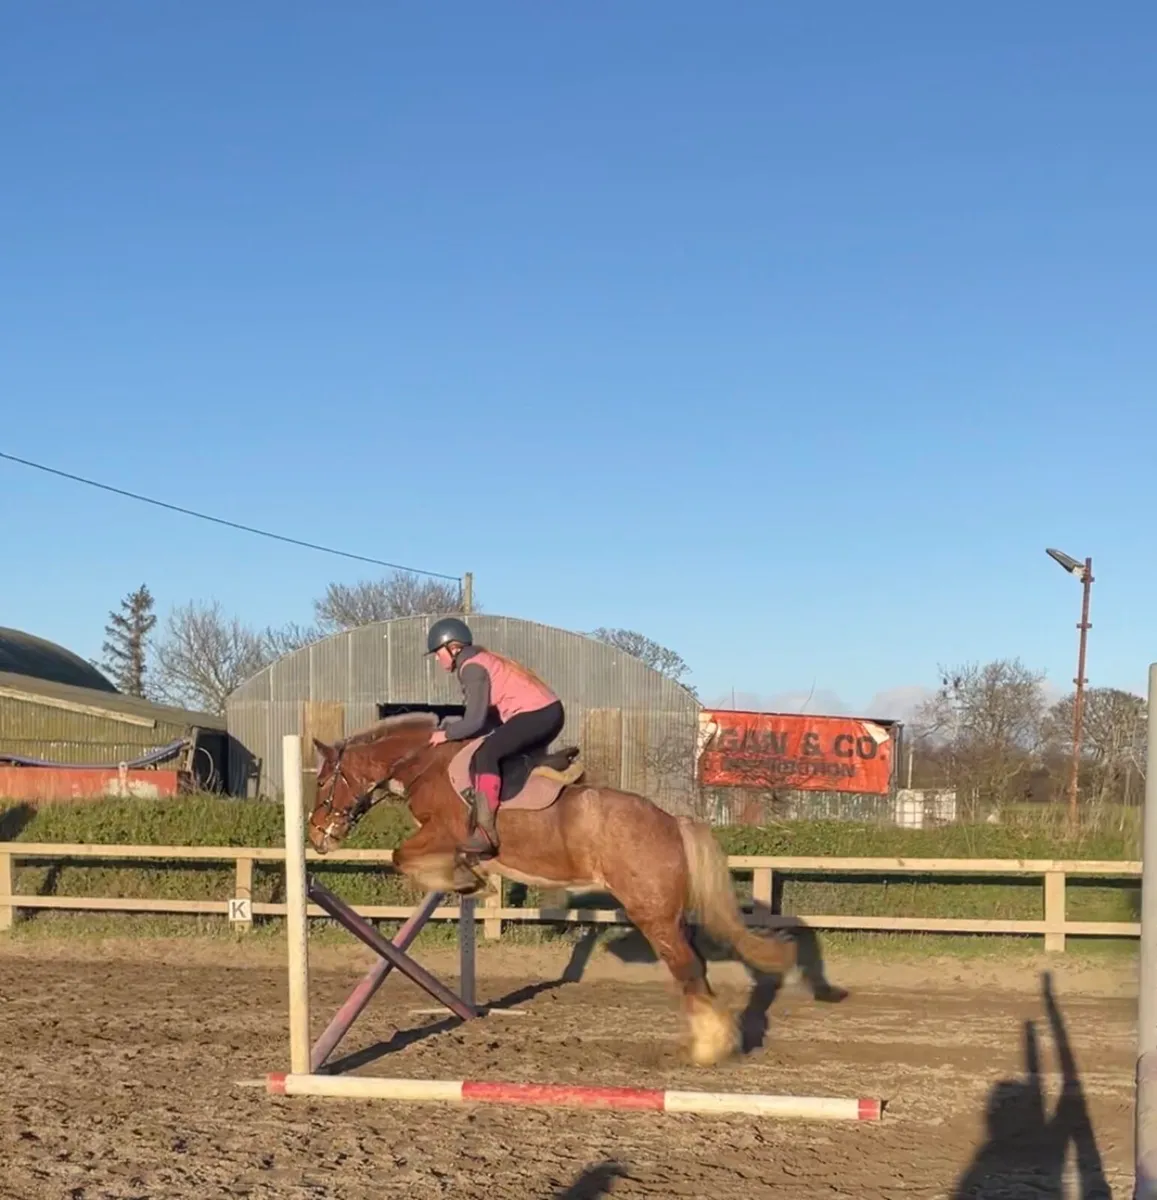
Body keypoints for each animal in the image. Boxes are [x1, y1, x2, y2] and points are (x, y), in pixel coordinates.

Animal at [306, 712, 798, 1066]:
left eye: (322, 781)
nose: (316, 837)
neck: (424, 764)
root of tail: (673, 822)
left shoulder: (443, 833)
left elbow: (402, 857)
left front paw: (468, 882)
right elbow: (412, 861)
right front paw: (470, 882)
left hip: (653, 915)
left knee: (689, 969)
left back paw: (708, 1049)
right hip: (667, 915)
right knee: (695, 968)